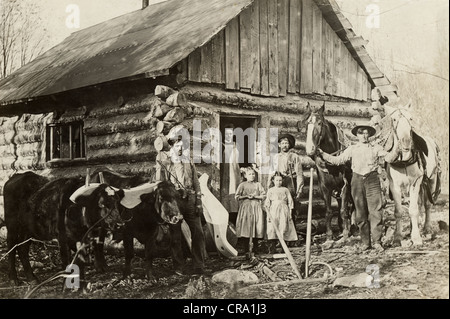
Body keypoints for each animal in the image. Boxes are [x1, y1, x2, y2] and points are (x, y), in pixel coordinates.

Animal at [300, 102, 354, 242]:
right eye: (307, 123)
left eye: (319, 123)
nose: (310, 150)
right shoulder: (325, 188)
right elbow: (329, 211)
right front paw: (329, 236)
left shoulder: (346, 187)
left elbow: (343, 210)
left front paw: (345, 234)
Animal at [384, 104, 442, 246]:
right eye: (394, 119)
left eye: (410, 118)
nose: (406, 142)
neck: (404, 160)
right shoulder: (394, 186)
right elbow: (398, 211)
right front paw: (397, 237)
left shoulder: (415, 182)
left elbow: (414, 210)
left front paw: (416, 238)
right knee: (419, 204)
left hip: (431, 180)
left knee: (426, 205)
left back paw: (426, 229)